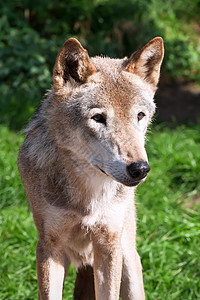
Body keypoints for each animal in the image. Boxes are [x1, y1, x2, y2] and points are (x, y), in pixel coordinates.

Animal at [17, 36, 164, 298]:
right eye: (98, 118)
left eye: (139, 115)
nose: (140, 169)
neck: (88, 193)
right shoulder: (48, 247)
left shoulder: (108, 245)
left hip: (128, 260)